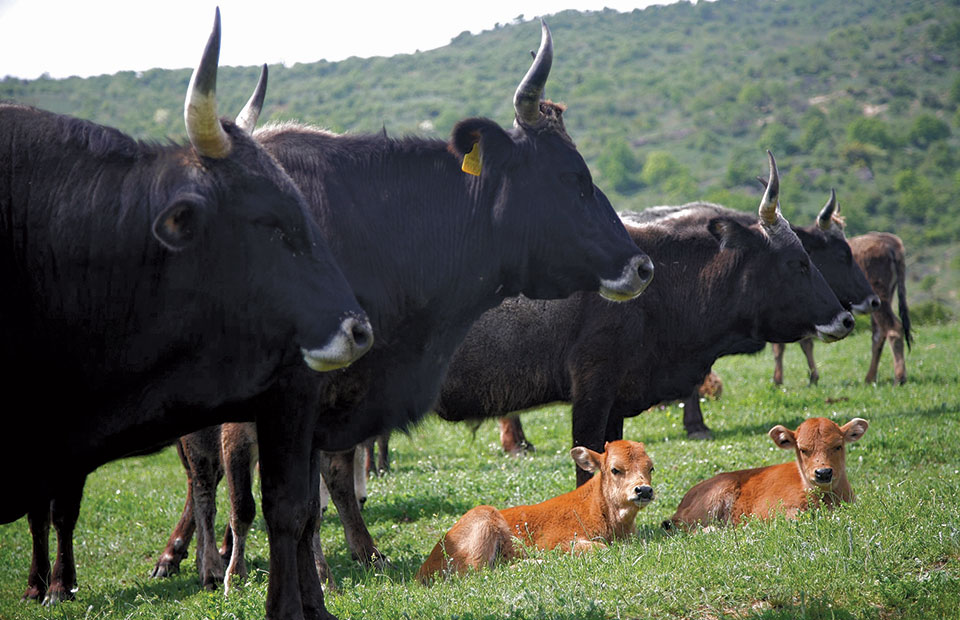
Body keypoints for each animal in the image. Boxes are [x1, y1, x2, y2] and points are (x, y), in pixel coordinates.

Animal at [5, 9, 372, 606]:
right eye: (269, 222)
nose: (356, 329)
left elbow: (306, 504)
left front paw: (321, 574)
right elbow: (242, 502)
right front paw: (230, 574)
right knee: (202, 486)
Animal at [415, 439, 654, 583]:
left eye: (651, 467)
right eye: (615, 469)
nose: (643, 490)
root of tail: (424, 568)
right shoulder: (559, 541)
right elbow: (601, 548)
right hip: (482, 521)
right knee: (477, 573)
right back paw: (536, 563)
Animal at [849, 232, 912, 384]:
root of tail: (890, 241)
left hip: (879, 300)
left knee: (893, 329)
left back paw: (899, 378)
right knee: (879, 335)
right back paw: (870, 378)